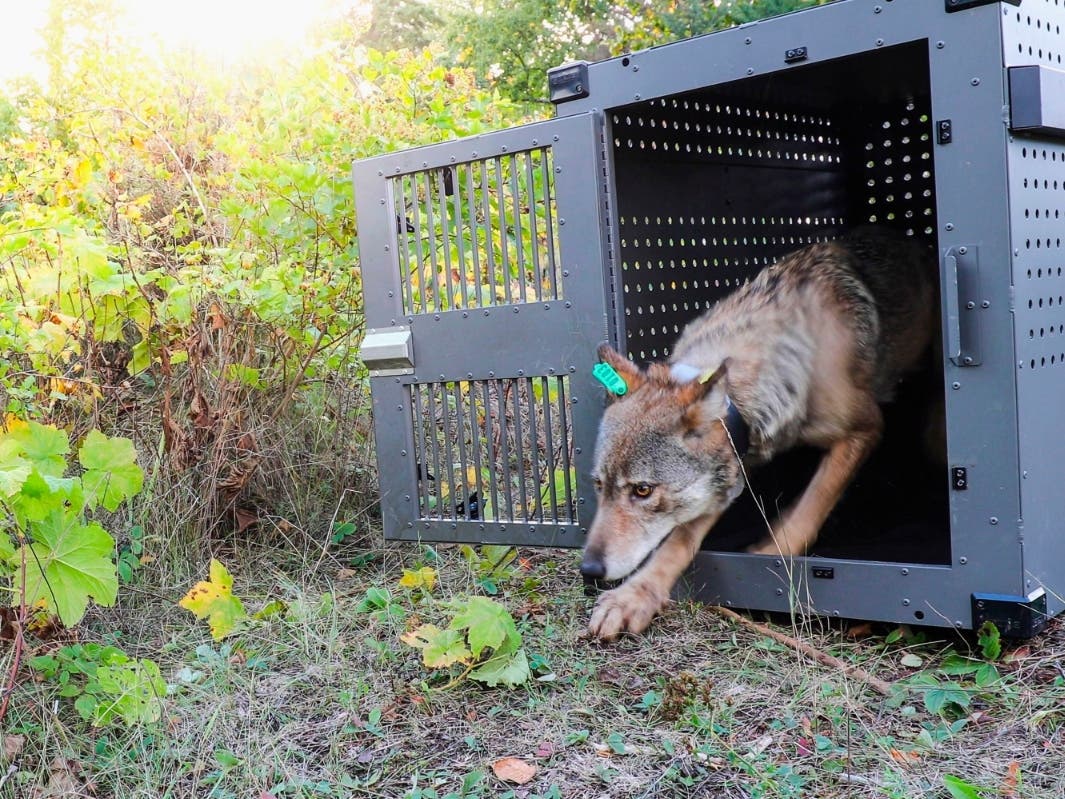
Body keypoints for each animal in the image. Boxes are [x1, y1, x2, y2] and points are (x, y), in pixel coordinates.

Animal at [580, 228, 936, 640]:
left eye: (642, 490)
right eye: (599, 486)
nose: (588, 570)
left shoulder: (865, 427)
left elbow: (811, 505)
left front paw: (769, 557)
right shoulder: (733, 466)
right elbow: (678, 541)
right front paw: (633, 597)